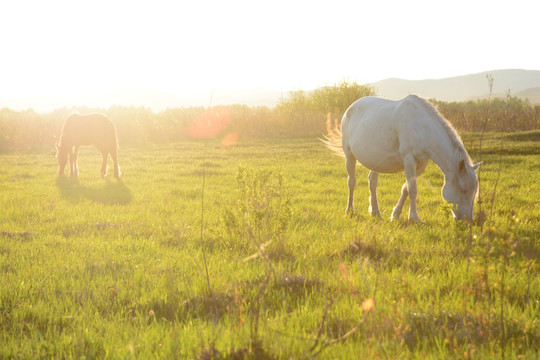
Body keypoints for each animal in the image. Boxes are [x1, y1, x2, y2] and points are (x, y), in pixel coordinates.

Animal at [324, 94, 480, 222]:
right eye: (464, 190)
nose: (468, 221)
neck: (422, 128)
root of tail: (350, 108)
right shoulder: (409, 159)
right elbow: (412, 189)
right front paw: (414, 218)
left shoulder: (420, 164)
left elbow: (405, 188)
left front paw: (396, 215)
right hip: (349, 155)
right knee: (352, 182)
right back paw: (350, 210)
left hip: (376, 162)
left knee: (372, 183)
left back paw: (376, 212)